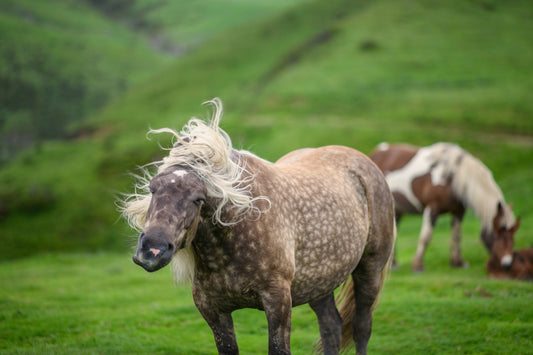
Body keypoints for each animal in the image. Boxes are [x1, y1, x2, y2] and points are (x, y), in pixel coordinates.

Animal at [120, 99, 394, 355]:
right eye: (152, 189)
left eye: (198, 198)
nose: (152, 251)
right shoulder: (211, 309)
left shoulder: (277, 300)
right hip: (320, 282)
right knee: (331, 327)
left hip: (369, 268)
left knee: (361, 327)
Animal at [370, 142, 516, 272]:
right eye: (499, 234)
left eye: (513, 237)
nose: (507, 264)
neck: (453, 177)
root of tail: (376, 151)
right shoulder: (432, 209)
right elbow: (426, 236)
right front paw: (418, 265)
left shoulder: (459, 211)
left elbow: (457, 235)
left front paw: (457, 262)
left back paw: (393, 264)